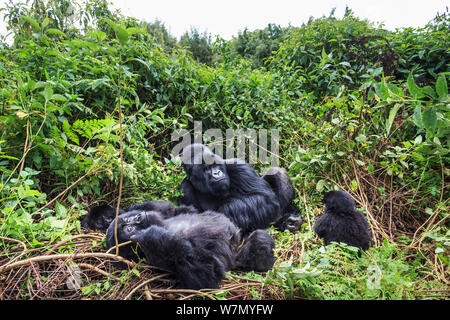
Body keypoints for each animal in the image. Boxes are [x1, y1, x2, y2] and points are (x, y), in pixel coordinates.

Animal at [103, 205, 276, 290]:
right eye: (129, 228)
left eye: (129, 218)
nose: (138, 217)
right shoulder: (155, 256)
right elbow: (208, 274)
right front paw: (149, 235)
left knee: (258, 238)